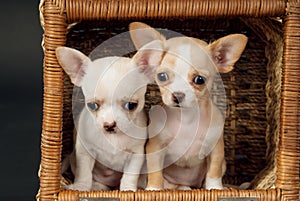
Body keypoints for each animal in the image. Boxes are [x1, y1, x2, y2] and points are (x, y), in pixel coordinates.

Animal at [55, 38, 164, 190]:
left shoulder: (136, 154)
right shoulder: (84, 151)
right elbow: (84, 171)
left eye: (131, 105)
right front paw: (81, 186)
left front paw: (128, 189)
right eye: (92, 105)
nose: (109, 124)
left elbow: (130, 174)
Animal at [129, 22, 246, 190]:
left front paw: (215, 188)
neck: (187, 119)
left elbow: (214, 171)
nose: (177, 95)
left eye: (199, 80)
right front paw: (153, 189)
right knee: (173, 185)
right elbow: (155, 172)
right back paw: (181, 187)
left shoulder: (216, 150)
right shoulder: (155, 148)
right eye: (162, 76)